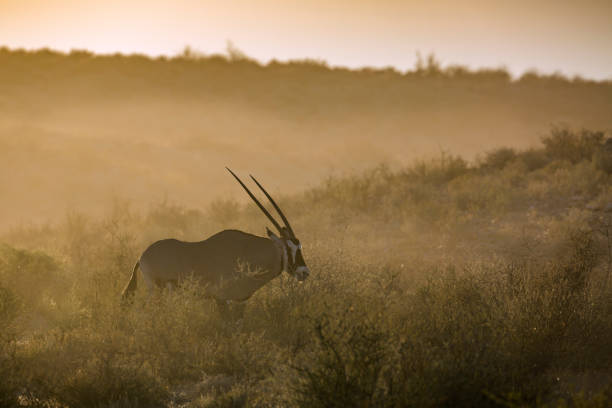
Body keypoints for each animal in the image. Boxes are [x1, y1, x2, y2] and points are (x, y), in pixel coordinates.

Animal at [120, 167, 310, 304]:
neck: (248, 250)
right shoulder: (224, 298)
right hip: (157, 289)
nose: (304, 272)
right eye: (289, 248)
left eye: (300, 246)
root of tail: (141, 257)